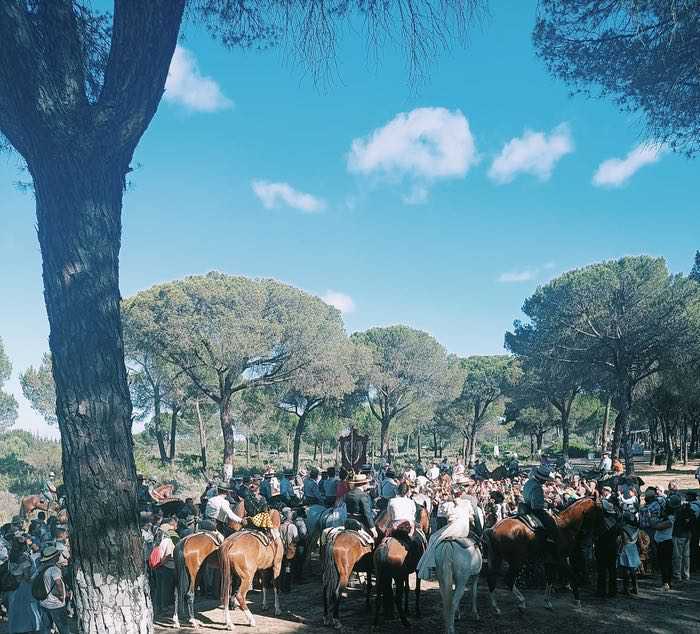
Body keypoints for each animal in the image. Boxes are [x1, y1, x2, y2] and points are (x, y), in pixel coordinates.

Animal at [173, 499, 246, 628]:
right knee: (189, 594)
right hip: (194, 574)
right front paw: (232, 603)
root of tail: (184, 543)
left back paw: (176, 621)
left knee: (177, 593)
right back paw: (193, 621)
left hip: (180, 572)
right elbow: (233, 585)